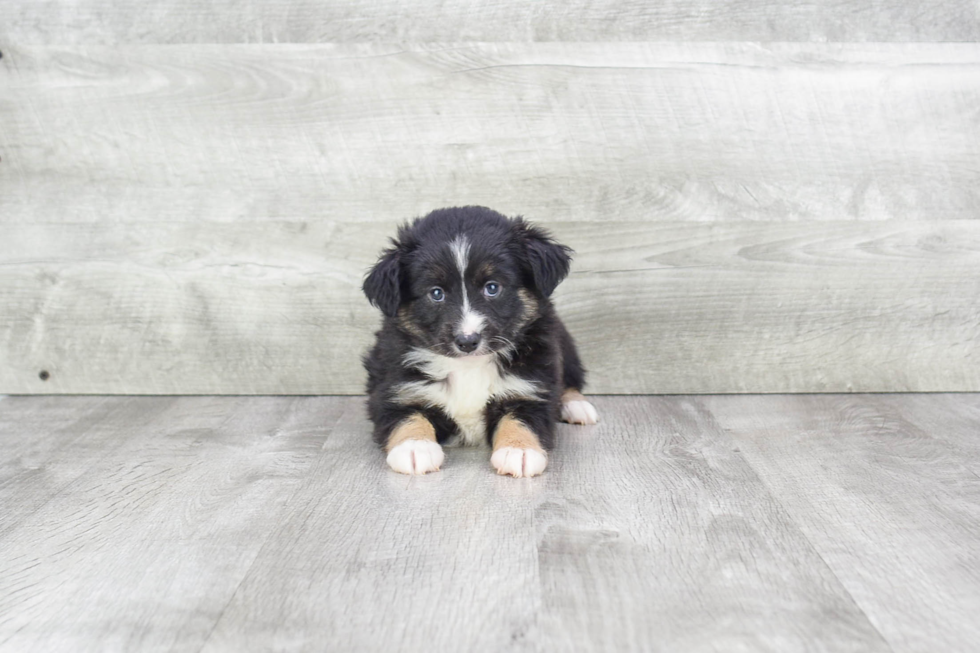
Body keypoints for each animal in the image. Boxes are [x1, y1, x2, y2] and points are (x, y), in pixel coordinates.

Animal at [364, 206, 600, 476]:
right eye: (436, 293)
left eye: (492, 287)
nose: (467, 341)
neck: (468, 367)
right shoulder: (394, 389)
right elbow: (407, 417)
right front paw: (415, 448)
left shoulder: (531, 388)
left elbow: (522, 418)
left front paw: (519, 451)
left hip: (566, 346)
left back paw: (576, 406)